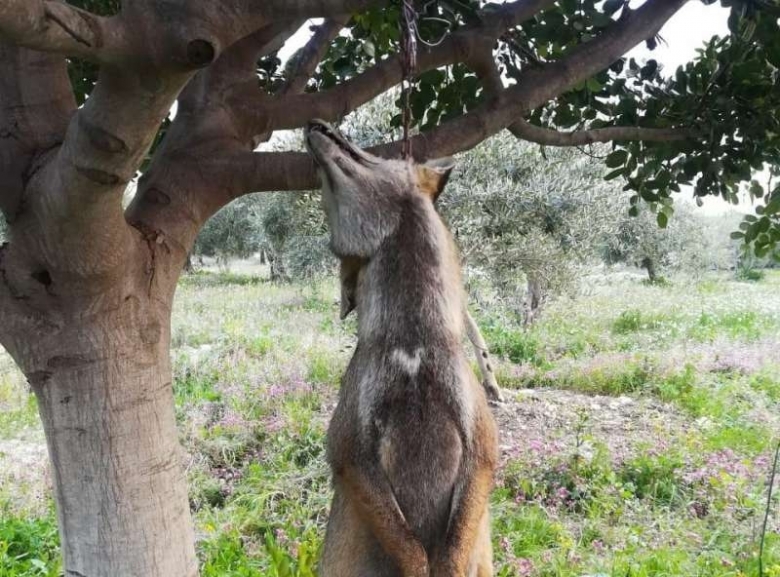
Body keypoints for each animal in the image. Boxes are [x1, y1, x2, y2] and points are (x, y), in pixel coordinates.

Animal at [306, 119, 500, 572]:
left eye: (382, 155)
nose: (315, 124)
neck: (412, 345)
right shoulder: (350, 450)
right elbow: (411, 549)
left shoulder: (481, 445)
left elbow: (452, 548)